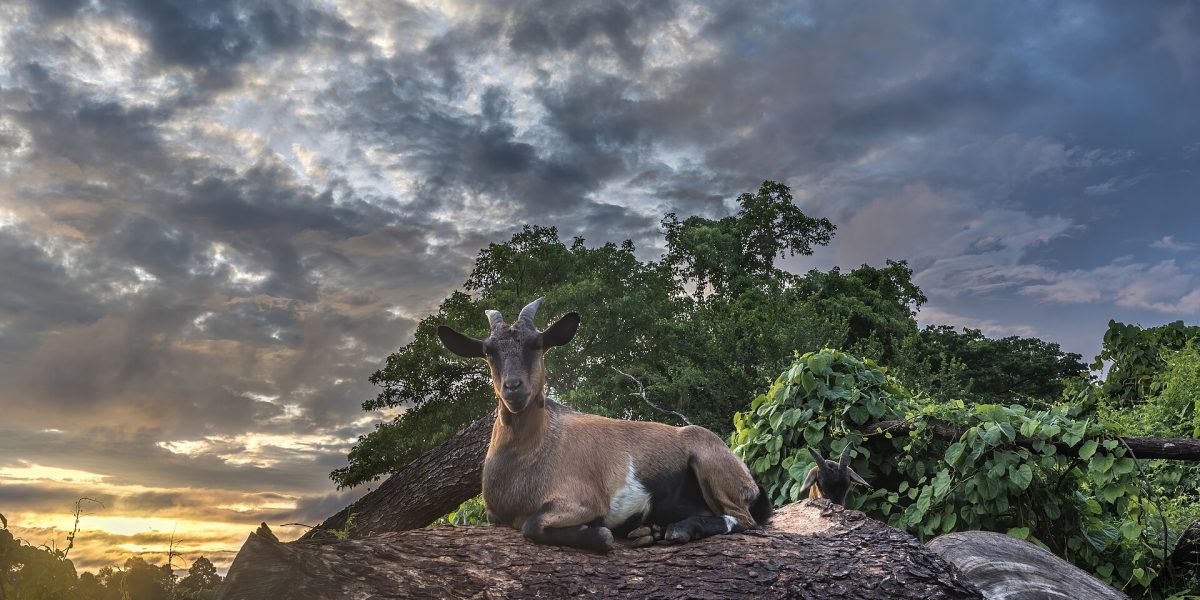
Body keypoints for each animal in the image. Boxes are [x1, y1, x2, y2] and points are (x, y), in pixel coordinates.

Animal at [437, 297, 773, 552]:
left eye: (537, 344)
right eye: (488, 351)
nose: (513, 388)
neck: (532, 454)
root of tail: (751, 483)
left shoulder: (582, 500)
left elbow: (533, 524)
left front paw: (599, 535)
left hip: (710, 463)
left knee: (742, 520)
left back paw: (679, 530)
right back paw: (652, 531)